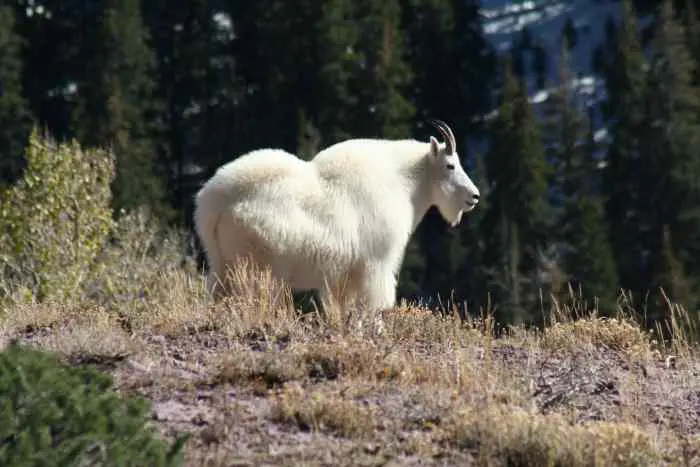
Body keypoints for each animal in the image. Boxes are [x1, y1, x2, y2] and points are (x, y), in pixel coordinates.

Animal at [194, 119, 478, 312]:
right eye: (450, 165)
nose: (474, 196)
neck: (403, 183)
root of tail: (212, 206)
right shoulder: (377, 262)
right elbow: (375, 306)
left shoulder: (344, 276)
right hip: (257, 264)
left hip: (221, 262)